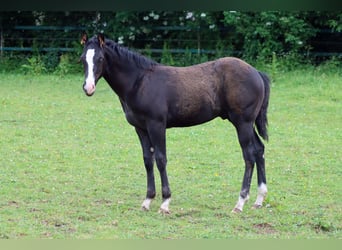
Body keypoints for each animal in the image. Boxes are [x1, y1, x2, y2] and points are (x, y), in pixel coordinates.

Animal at [79, 32, 270, 213]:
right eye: (82, 59)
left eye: (100, 58)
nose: (88, 88)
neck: (139, 82)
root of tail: (257, 73)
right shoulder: (140, 128)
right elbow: (147, 160)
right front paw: (147, 200)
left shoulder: (156, 125)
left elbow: (160, 159)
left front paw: (165, 202)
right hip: (245, 123)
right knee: (259, 150)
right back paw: (259, 199)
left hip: (243, 123)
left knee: (249, 156)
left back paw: (240, 202)